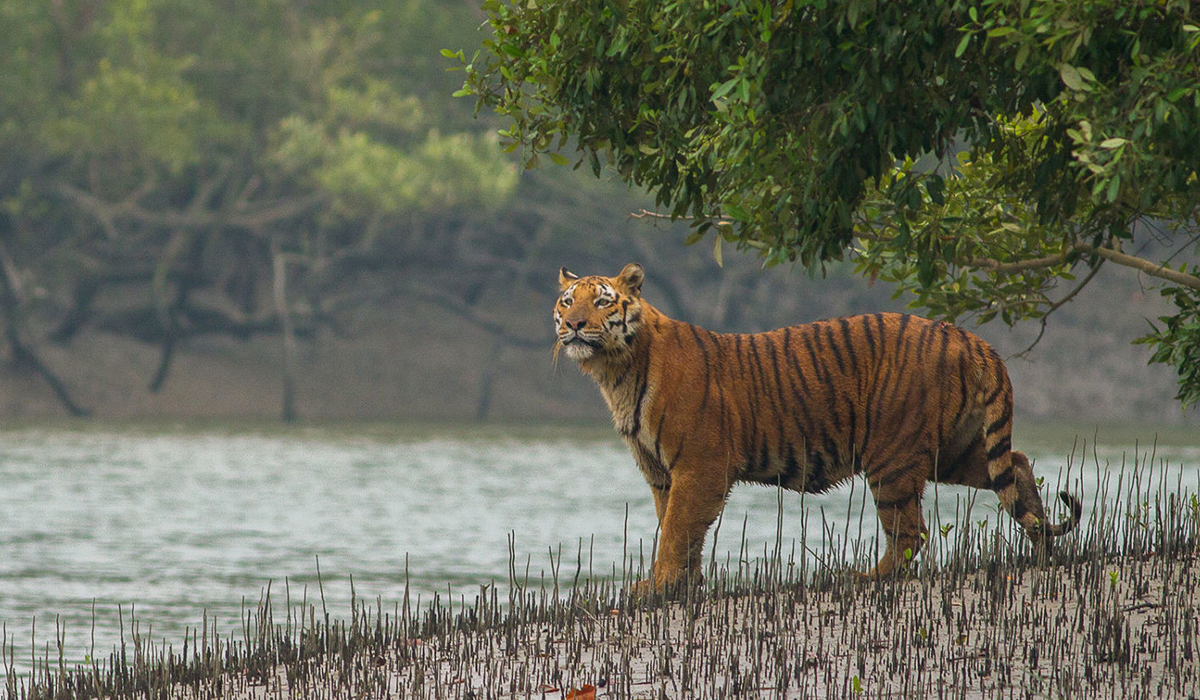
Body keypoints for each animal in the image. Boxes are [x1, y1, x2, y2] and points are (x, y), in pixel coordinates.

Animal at [556, 262, 1084, 590]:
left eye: (602, 303)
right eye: (566, 302)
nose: (575, 325)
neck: (616, 371)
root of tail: (967, 336)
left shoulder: (699, 467)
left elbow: (677, 530)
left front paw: (657, 586)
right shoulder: (662, 473)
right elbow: (675, 528)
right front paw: (681, 585)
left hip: (892, 456)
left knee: (910, 532)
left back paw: (869, 578)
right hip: (950, 450)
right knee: (1016, 464)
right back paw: (1043, 550)